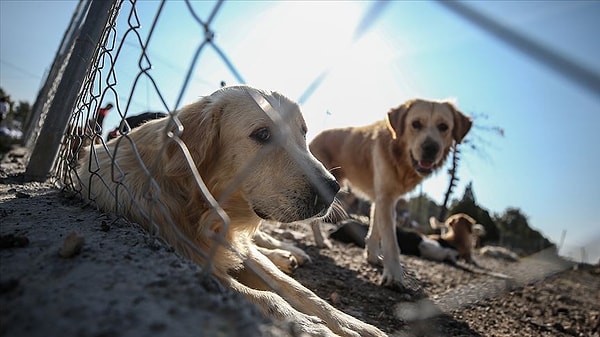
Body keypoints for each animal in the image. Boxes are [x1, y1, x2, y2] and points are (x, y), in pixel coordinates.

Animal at [76, 86, 384, 336]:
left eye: (303, 133)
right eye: (263, 134)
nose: (333, 189)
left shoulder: (237, 246)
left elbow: (301, 291)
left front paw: (354, 325)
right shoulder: (189, 258)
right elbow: (266, 298)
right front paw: (309, 326)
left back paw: (288, 253)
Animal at [310, 98, 474, 288]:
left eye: (443, 127)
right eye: (415, 124)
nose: (430, 149)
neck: (399, 156)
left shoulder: (382, 199)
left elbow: (376, 231)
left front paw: (373, 257)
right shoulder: (385, 199)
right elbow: (391, 240)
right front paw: (394, 275)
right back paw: (320, 241)